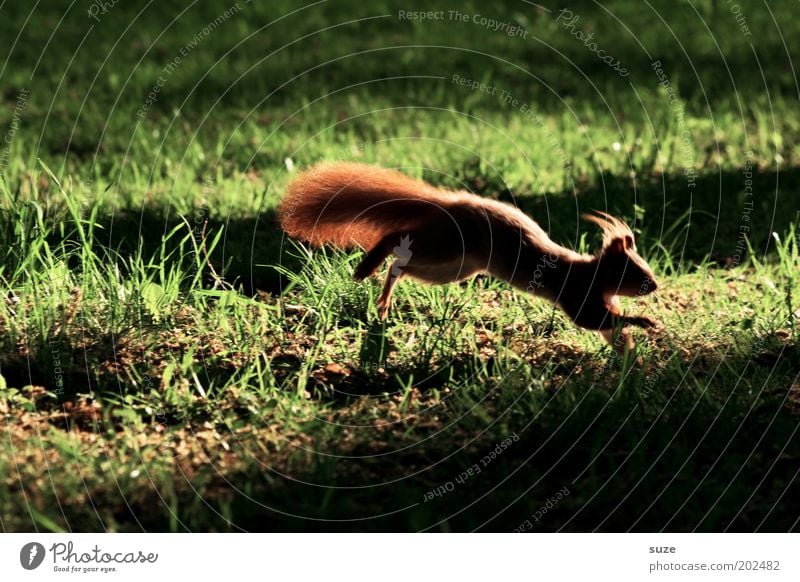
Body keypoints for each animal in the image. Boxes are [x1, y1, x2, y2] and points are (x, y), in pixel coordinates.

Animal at [278, 164, 660, 354]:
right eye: (636, 271)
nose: (655, 285)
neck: (596, 276)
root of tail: (449, 203)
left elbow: (612, 329)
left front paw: (629, 361)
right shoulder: (579, 296)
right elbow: (595, 321)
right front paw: (646, 323)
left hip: (455, 266)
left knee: (402, 263)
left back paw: (384, 298)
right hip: (448, 246)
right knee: (395, 241)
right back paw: (367, 267)